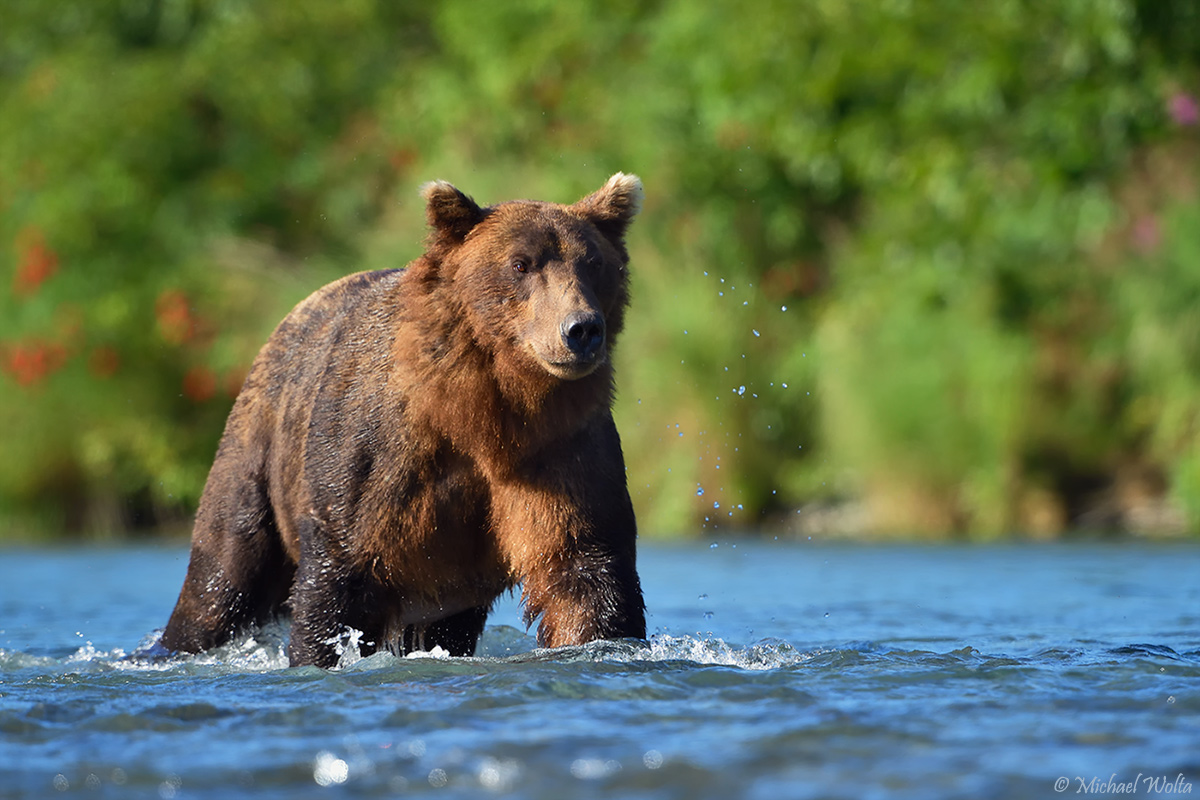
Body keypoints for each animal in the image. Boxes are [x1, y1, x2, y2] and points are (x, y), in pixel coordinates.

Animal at [162, 175, 648, 671]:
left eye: (593, 263)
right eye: (520, 264)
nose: (581, 329)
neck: (480, 412)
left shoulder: (557, 452)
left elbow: (584, 568)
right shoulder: (377, 462)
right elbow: (335, 580)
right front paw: (318, 653)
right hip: (260, 448)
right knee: (224, 572)